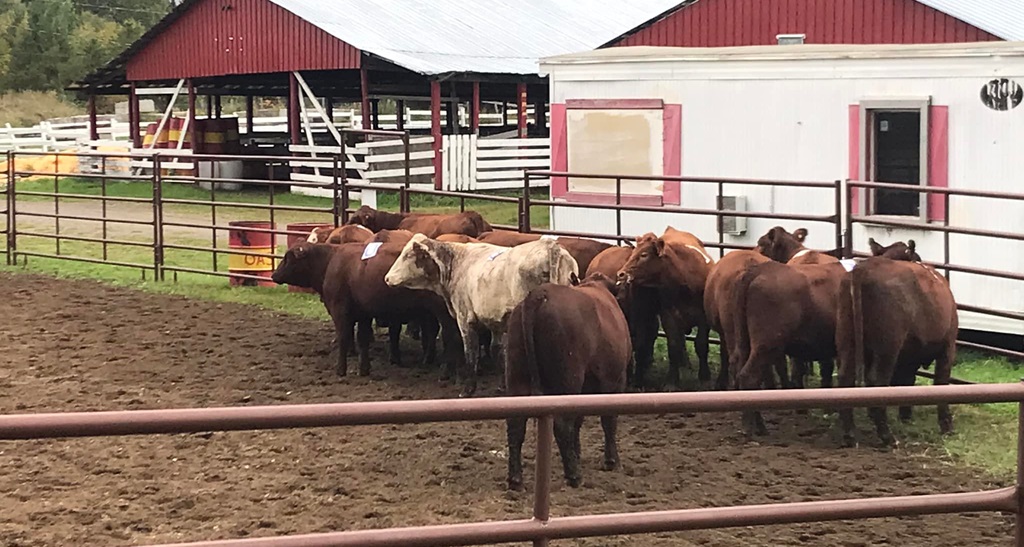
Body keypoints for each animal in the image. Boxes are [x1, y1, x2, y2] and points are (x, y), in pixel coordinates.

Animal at [271, 241, 462, 380]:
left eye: (288, 258)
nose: (273, 275)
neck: (331, 261)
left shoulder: (340, 310)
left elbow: (344, 337)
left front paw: (340, 369)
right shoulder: (363, 313)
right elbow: (363, 339)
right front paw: (364, 369)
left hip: (442, 313)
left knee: (449, 337)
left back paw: (446, 371)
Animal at [384, 234, 578, 397]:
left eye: (408, 255)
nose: (387, 278)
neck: (457, 263)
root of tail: (550, 246)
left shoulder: (465, 319)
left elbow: (471, 353)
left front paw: (468, 389)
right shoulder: (497, 322)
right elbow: (499, 351)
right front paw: (502, 385)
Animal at [504, 272, 631, 490]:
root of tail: (540, 294)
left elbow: (578, 420)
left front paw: (577, 454)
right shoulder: (614, 379)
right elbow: (608, 420)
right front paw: (611, 460)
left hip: (517, 376)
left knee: (516, 424)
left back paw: (516, 479)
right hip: (568, 379)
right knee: (562, 425)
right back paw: (574, 475)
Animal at [616, 227, 714, 390]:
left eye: (644, 254)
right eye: (633, 252)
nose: (621, 274)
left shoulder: (704, 317)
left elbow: (701, 344)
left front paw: (705, 377)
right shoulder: (669, 315)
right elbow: (673, 346)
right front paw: (672, 381)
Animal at [836, 257, 956, 448]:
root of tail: (865, 267)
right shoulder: (948, 347)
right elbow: (941, 382)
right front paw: (946, 424)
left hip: (848, 340)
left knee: (846, 378)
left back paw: (850, 435)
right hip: (888, 348)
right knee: (877, 381)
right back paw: (887, 436)